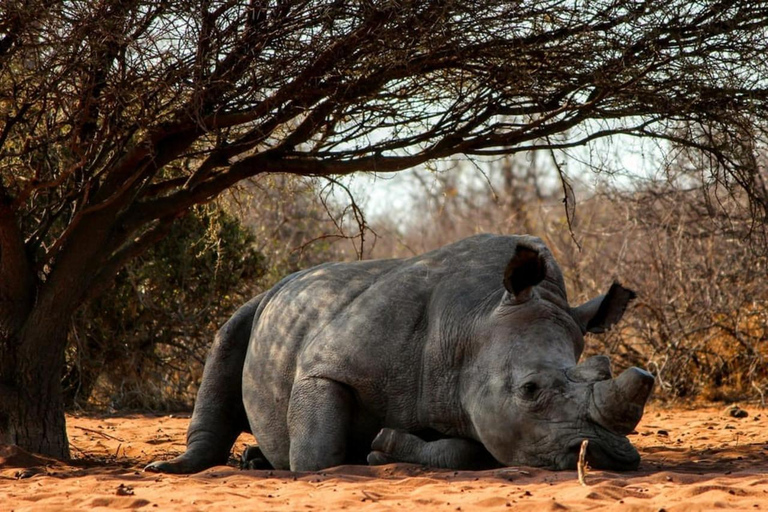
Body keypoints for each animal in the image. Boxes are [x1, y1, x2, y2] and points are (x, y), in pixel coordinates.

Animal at [147, 234, 652, 474]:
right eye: (529, 390)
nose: (604, 454)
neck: (474, 322)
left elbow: (466, 451)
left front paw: (381, 450)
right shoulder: (326, 366)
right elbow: (316, 457)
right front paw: (359, 455)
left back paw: (254, 461)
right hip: (260, 304)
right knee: (226, 339)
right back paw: (176, 468)